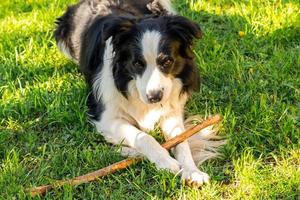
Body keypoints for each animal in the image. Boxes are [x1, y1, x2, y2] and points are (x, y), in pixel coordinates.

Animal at [54, 0, 224, 186]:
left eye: (167, 61)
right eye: (137, 63)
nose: (154, 97)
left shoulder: (171, 109)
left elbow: (181, 139)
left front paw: (192, 171)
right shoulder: (105, 117)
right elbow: (142, 136)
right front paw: (166, 162)